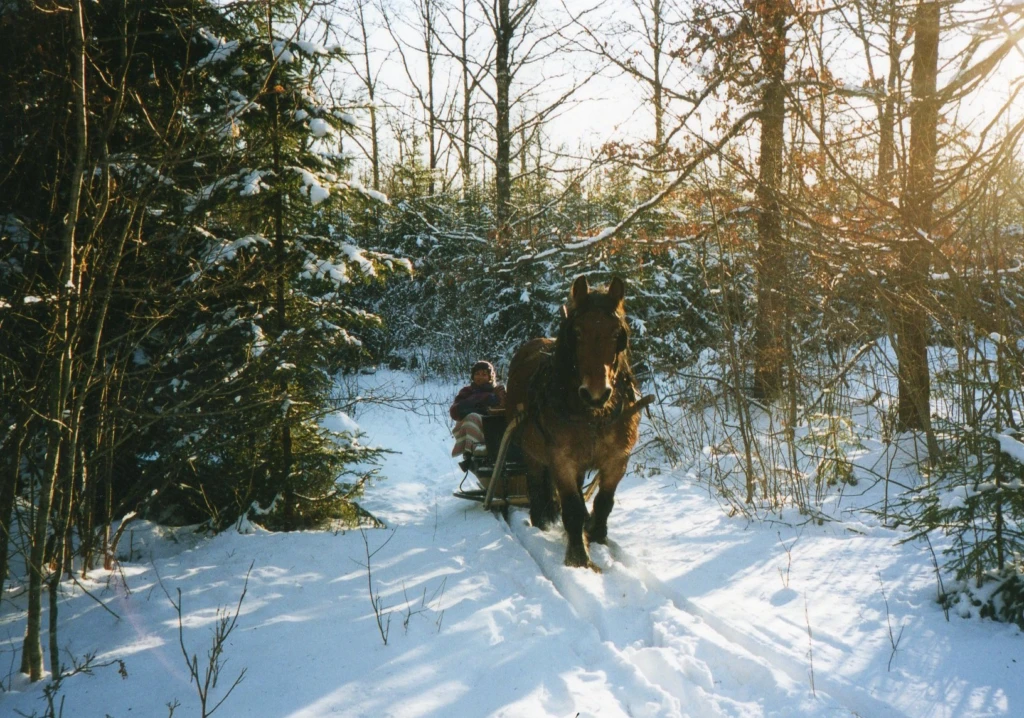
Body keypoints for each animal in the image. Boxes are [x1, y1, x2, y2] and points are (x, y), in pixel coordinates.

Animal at [503, 272, 647, 565]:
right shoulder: (562, 460)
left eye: (617, 334)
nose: (596, 394)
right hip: (531, 453)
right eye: (577, 332)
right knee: (537, 486)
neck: (594, 416)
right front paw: (579, 557)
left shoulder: (617, 459)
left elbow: (603, 503)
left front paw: (597, 536)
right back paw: (539, 523)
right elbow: (572, 507)